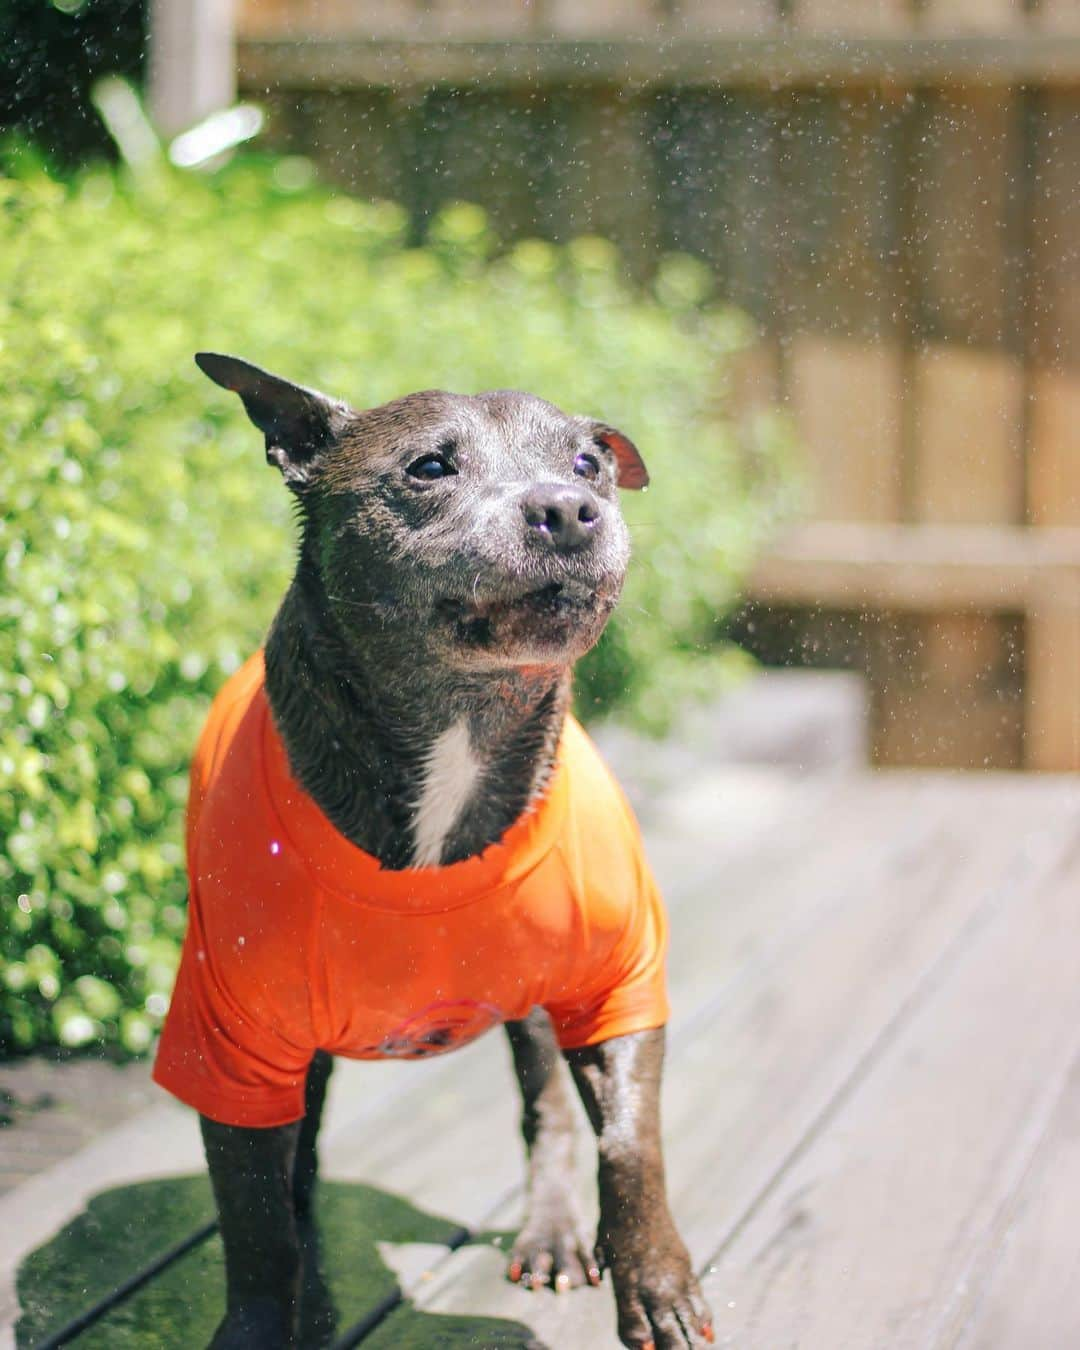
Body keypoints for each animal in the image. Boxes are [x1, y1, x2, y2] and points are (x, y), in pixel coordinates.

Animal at [149, 356, 707, 1350]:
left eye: (588, 463)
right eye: (430, 467)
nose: (569, 509)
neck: (462, 726)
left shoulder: (618, 989)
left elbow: (629, 1142)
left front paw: (657, 1281)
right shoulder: (232, 1043)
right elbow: (255, 1222)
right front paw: (260, 1321)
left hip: (535, 1012)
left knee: (547, 1112)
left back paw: (554, 1230)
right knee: (300, 1158)